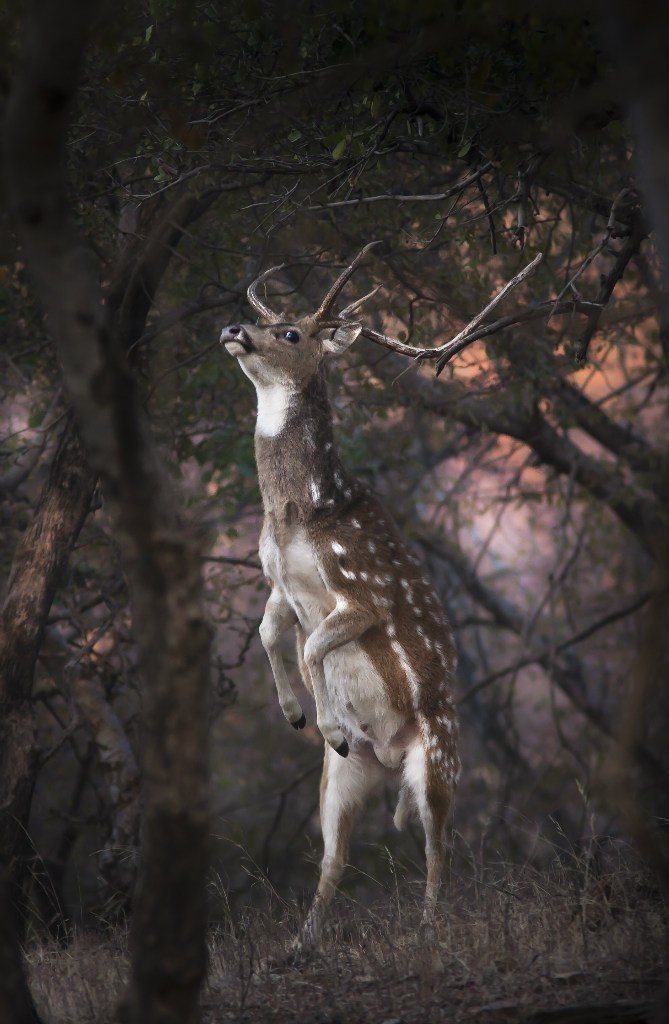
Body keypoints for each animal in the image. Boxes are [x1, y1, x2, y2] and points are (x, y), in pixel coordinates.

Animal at [220, 242, 541, 949]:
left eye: (292, 333)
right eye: (267, 319)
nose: (233, 328)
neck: (301, 514)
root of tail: (392, 757)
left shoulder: (360, 591)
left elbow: (313, 645)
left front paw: (325, 721)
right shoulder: (276, 579)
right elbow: (270, 633)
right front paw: (296, 714)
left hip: (441, 757)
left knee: (438, 845)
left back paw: (427, 930)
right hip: (342, 780)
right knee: (334, 856)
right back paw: (300, 942)